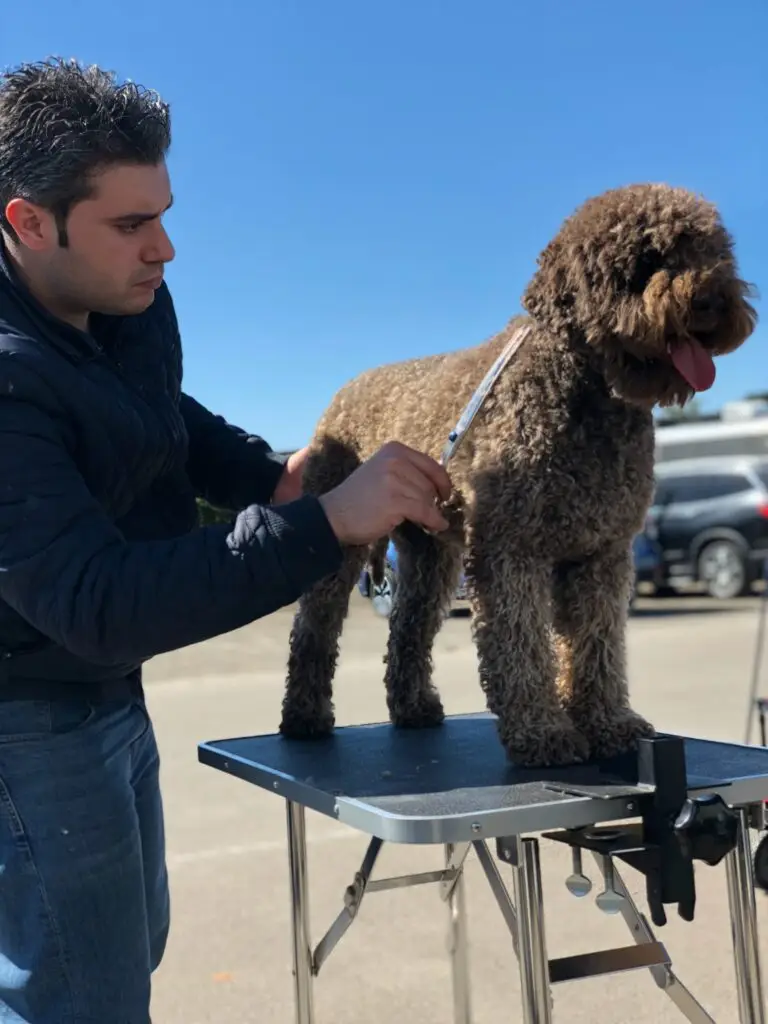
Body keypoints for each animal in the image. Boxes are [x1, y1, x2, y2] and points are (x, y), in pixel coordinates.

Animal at [278, 184, 757, 765]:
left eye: (714, 253)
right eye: (646, 262)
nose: (713, 299)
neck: (584, 390)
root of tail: (344, 391)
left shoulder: (601, 553)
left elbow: (597, 644)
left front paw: (609, 721)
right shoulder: (513, 547)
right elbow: (522, 645)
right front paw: (542, 731)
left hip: (432, 556)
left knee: (408, 625)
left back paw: (414, 707)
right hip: (344, 536)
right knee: (315, 626)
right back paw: (304, 716)